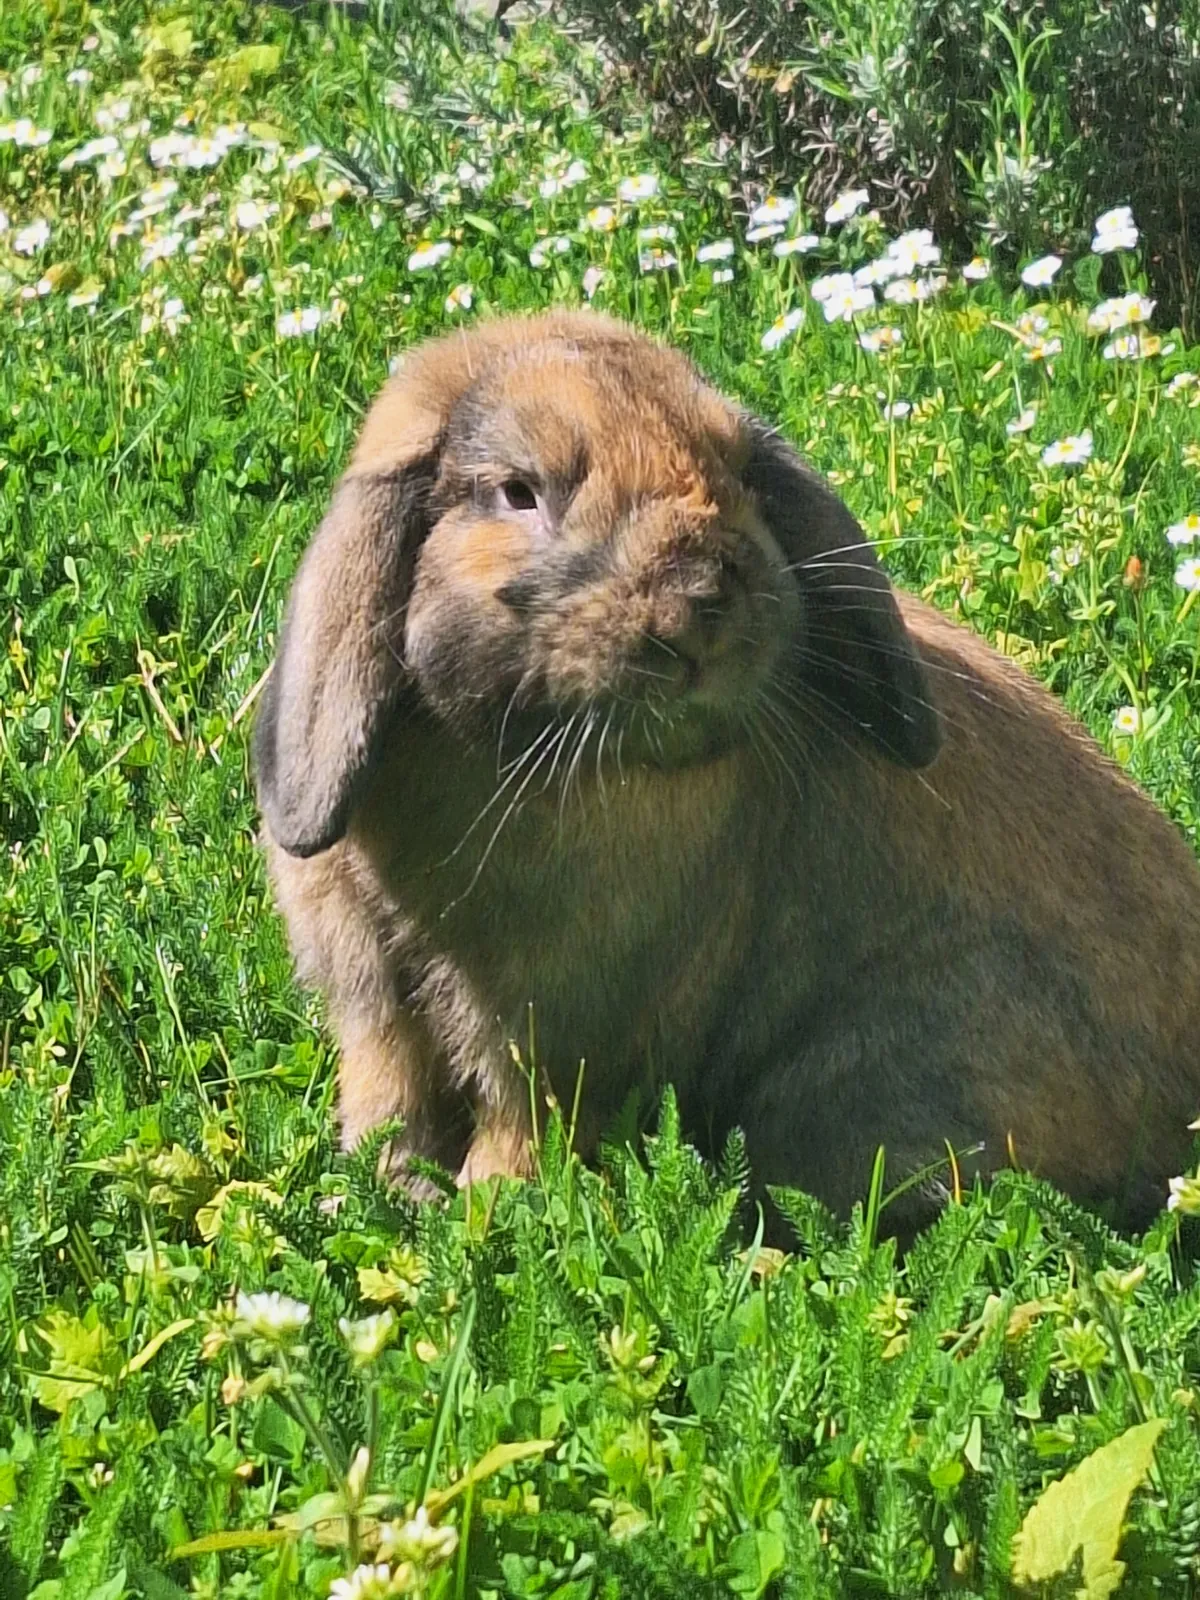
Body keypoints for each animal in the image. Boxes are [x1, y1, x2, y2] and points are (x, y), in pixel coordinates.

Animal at [254, 307, 1200, 1232]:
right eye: (518, 490)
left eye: (739, 470)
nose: (699, 606)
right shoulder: (378, 1005)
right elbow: (392, 1095)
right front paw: (379, 1190)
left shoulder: (556, 1033)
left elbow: (522, 1124)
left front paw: (489, 1211)